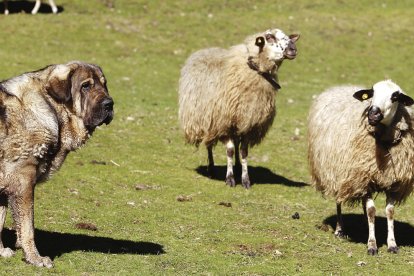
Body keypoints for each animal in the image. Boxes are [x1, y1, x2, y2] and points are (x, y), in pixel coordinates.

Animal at [0, 61, 113, 266]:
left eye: (104, 84)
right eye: (86, 86)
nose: (110, 104)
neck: (51, 108)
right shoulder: (23, 182)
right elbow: (27, 227)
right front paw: (35, 258)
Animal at [178, 29, 298, 189]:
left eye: (287, 37)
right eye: (269, 37)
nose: (293, 49)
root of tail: (205, 49)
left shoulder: (249, 123)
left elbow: (243, 151)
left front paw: (245, 179)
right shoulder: (224, 123)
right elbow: (229, 150)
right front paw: (230, 179)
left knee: (235, 144)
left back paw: (237, 166)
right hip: (207, 119)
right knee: (210, 144)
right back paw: (211, 169)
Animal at [308, 80, 414, 254]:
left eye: (395, 97)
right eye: (372, 92)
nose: (373, 113)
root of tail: (339, 87)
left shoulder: (393, 182)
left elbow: (389, 212)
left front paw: (392, 244)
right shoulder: (363, 178)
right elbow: (371, 211)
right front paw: (372, 245)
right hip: (339, 172)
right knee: (339, 199)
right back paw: (340, 230)